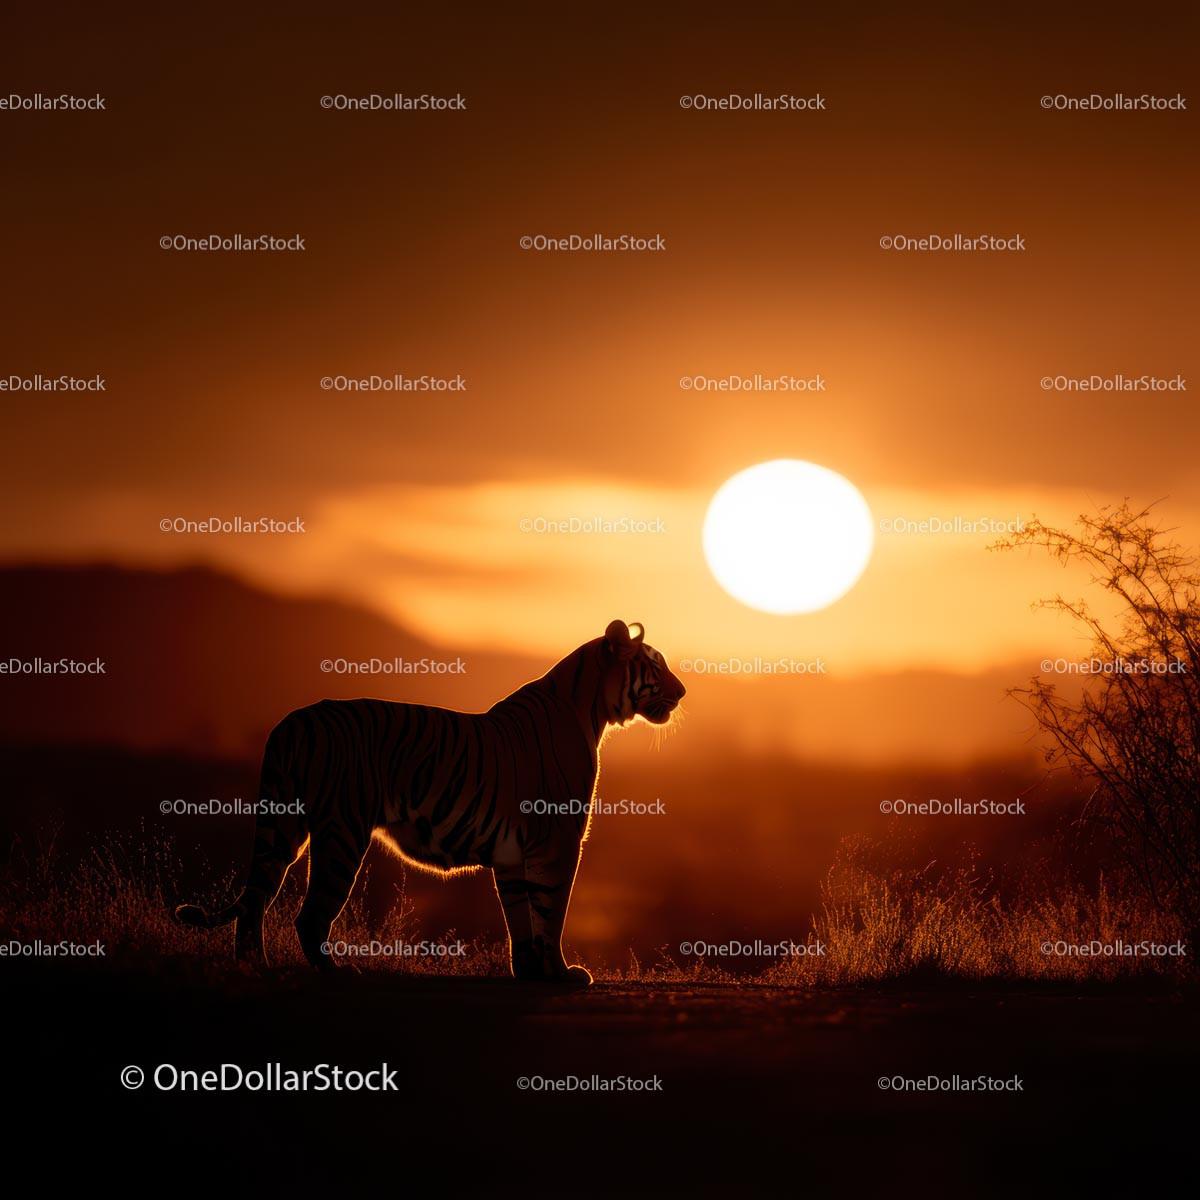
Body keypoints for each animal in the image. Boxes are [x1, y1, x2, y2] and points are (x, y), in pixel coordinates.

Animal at [174, 619, 684, 986]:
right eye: (655, 667)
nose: (682, 693)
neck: (591, 710)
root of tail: (291, 722)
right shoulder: (558, 840)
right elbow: (551, 911)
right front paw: (562, 974)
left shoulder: (514, 855)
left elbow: (520, 917)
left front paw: (529, 973)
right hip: (341, 833)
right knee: (310, 913)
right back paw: (337, 972)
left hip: (283, 829)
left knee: (255, 902)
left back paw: (253, 968)